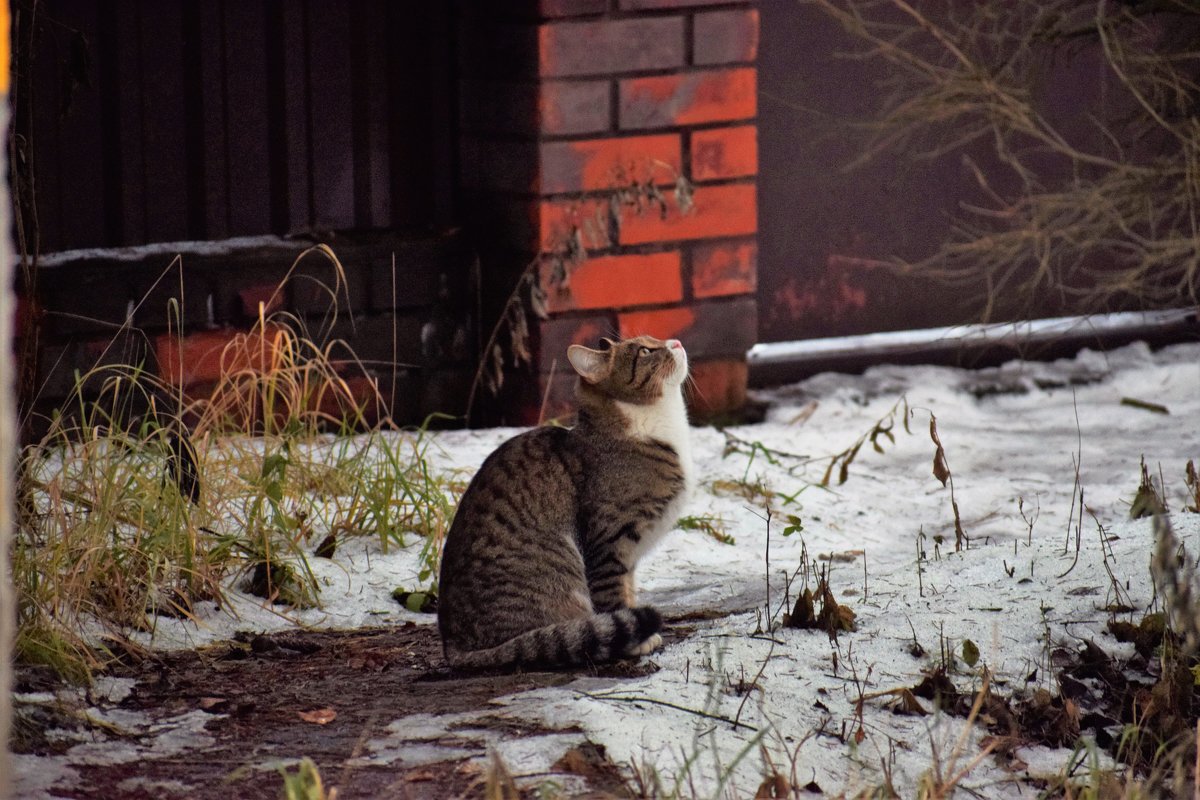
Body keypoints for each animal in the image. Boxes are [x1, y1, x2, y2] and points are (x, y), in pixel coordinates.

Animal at [439, 335, 696, 671]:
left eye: (652, 340)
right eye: (644, 351)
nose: (675, 341)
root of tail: (452, 646)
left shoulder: (627, 559)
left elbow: (627, 591)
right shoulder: (610, 542)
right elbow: (613, 596)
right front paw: (636, 642)